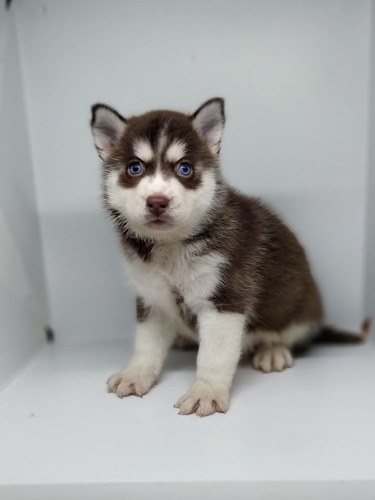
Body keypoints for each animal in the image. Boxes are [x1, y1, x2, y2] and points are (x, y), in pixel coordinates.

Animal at [90, 98, 324, 418]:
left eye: (185, 169)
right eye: (134, 168)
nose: (157, 201)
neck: (171, 246)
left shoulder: (225, 298)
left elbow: (214, 355)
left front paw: (207, 391)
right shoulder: (152, 299)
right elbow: (146, 343)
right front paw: (136, 373)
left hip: (299, 309)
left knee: (287, 334)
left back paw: (272, 350)